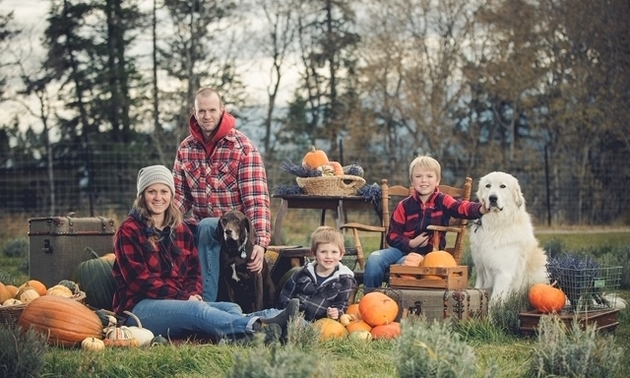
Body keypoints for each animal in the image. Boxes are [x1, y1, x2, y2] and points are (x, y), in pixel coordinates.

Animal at [472, 171, 552, 304]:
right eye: (487, 186)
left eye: (503, 186)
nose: (492, 198)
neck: (496, 225)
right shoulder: (480, 270)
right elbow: (477, 289)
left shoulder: (503, 273)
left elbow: (494, 302)